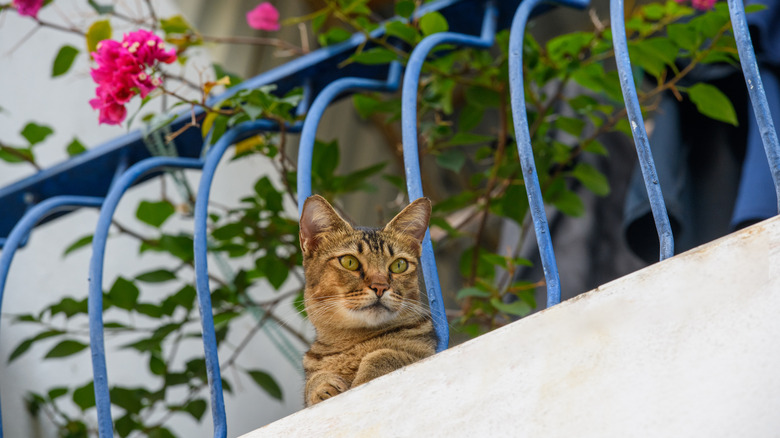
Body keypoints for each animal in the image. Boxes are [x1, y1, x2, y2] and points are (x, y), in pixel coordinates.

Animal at [298, 196, 436, 408]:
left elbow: (382, 355)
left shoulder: (427, 353)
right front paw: (322, 387)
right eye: (349, 262)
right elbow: (314, 381)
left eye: (399, 265)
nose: (380, 286)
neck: (353, 343)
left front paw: (362, 380)